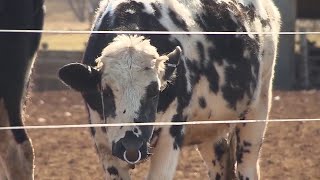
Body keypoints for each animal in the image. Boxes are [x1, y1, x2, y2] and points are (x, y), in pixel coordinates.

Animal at [58, 0, 280, 179]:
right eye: (105, 91)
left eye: (155, 91)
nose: (131, 146)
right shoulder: (104, 144)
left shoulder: (170, 137)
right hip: (211, 131)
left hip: (257, 110)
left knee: (247, 166)